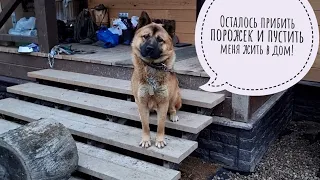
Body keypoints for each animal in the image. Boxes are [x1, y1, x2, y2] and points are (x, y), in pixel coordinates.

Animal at [131, 11, 181, 149]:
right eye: (145, 36)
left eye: (160, 40)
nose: (149, 48)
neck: (152, 66)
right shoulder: (142, 101)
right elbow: (145, 125)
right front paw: (146, 139)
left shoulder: (163, 102)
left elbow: (160, 125)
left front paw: (159, 140)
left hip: (174, 96)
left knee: (173, 108)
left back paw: (173, 115)